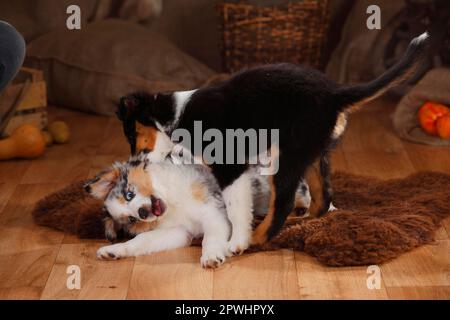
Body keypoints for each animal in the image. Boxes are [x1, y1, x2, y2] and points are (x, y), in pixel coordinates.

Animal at [115, 31, 428, 252]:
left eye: (130, 132)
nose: (133, 161)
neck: (177, 114)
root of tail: (335, 94)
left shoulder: (231, 167)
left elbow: (236, 209)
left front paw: (236, 243)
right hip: (313, 154)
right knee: (323, 197)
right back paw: (301, 222)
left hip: (287, 156)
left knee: (284, 202)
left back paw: (258, 238)